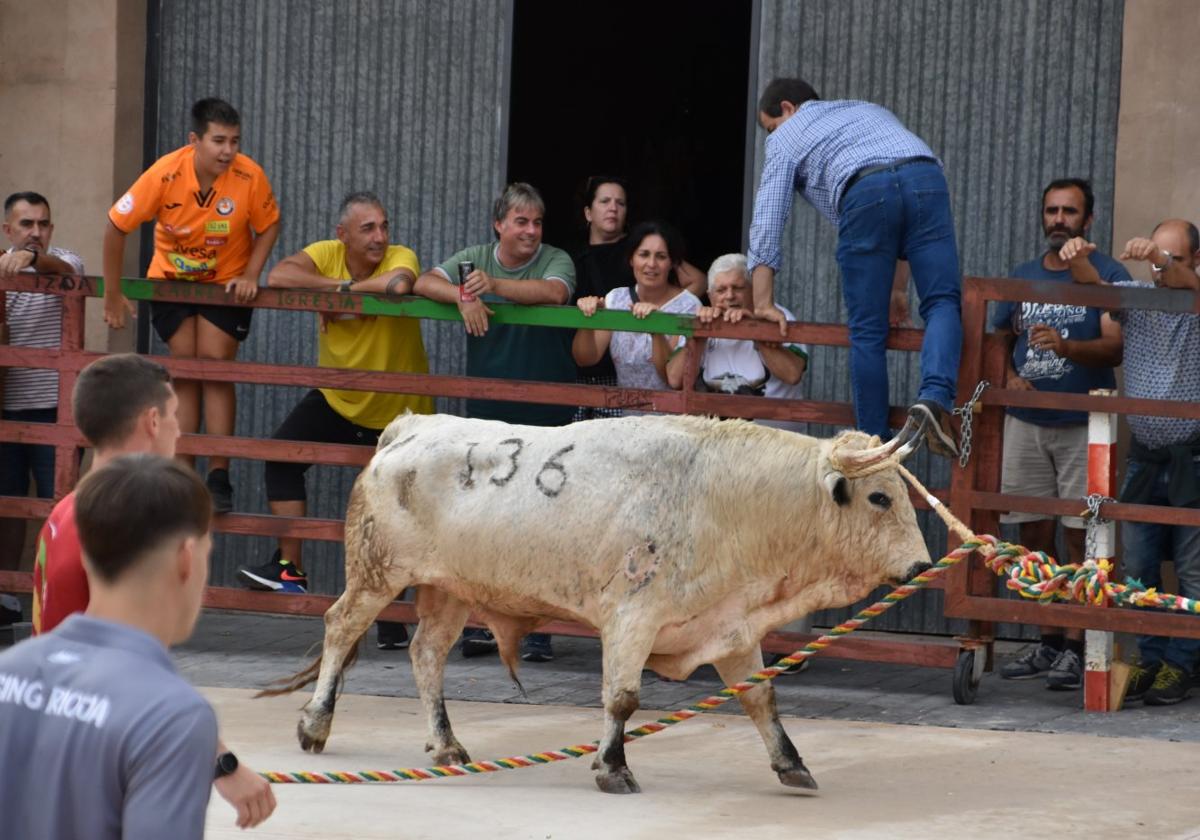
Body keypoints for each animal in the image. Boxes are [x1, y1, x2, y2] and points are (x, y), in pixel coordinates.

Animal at [267, 412, 931, 792]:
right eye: (879, 497)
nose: (923, 565)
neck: (728, 499)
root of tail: (409, 427)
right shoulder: (632, 618)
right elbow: (623, 697)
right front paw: (613, 766)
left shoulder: (731, 627)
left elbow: (760, 699)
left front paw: (791, 764)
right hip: (377, 573)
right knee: (340, 628)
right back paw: (315, 723)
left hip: (448, 590)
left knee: (427, 655)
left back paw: (448, 744)